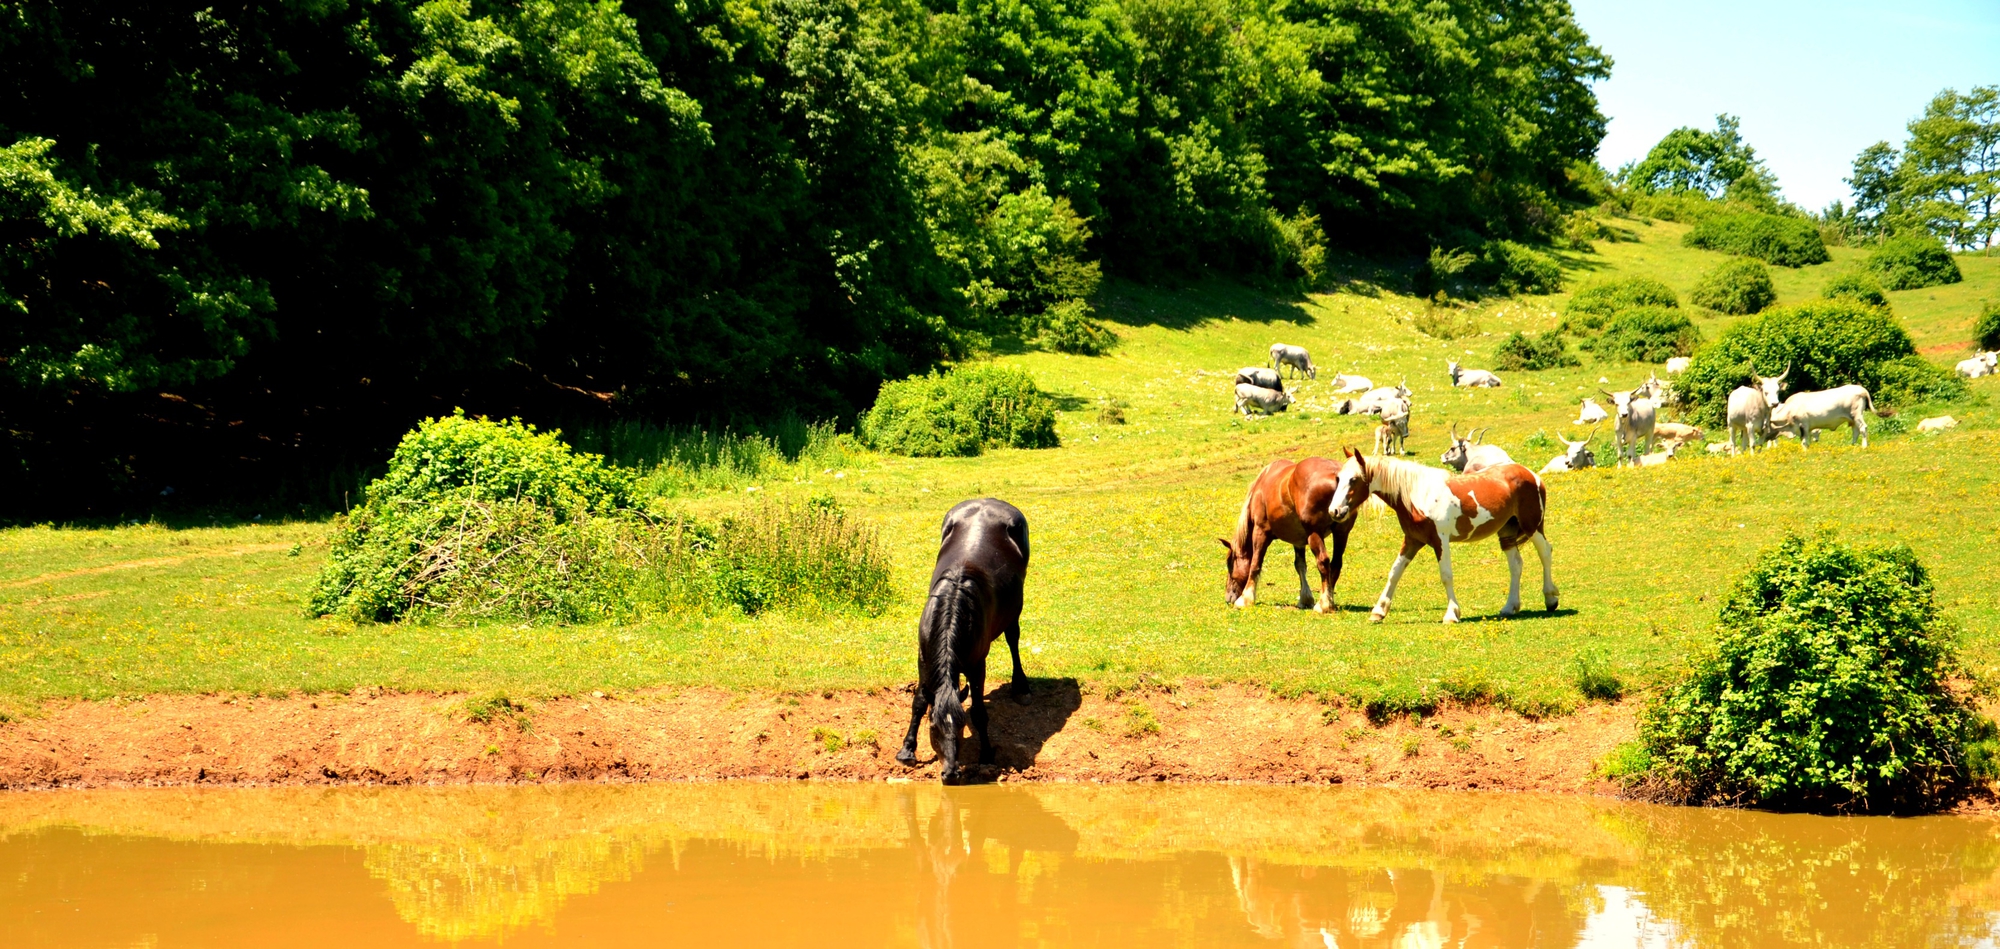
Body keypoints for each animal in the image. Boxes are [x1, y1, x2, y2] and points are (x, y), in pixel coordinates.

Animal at [904, 500, 1040, 780]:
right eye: (933, 727)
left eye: (960, 726)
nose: (950, 774)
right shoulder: (924, 658)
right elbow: (920, 701)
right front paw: (906, 750)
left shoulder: (978, 666)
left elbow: (978, 712)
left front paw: (986, 754)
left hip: (1014, 613)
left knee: (1013, 639)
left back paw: (1021, 687)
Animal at [1216, 456, 1360, 612]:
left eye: (1230, 564)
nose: (1228, 598)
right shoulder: (1298, 540)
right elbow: (1300, 566)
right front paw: (1305, 599)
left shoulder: (1260, 532)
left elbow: (1255, 564)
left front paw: (1245, 599)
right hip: (1341, 533)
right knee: (1336, 564)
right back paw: (1329, 600)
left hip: (1315, 534)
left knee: (1323, 561)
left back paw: (1324, 604)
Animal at [1328, 446, 1560, 624]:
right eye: (1338, 478)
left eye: (1354, 479)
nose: (1334, 512)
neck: (1418, 495)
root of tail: (1533, 475)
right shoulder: (1412, 541)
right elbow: (1394, 572)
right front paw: (1379, 611)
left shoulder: (1441, 541)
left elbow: (1446, 575)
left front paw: (1452, 614)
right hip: (1507, 534)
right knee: (1516, 565)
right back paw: (1510, 607)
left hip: (1532, 526)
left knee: (1546, 553)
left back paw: (1551, 599)